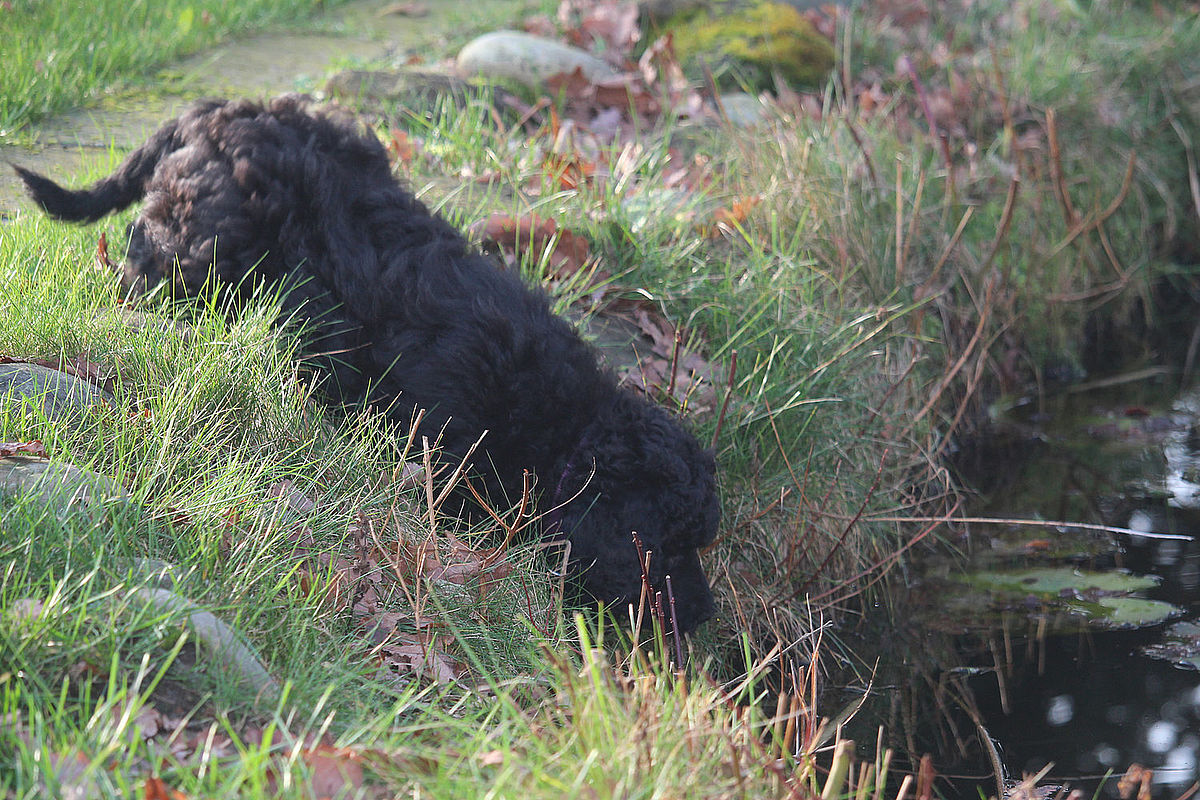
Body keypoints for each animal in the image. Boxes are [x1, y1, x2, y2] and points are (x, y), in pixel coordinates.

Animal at [16, 95, 720, 632]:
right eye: (665, 543)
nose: (703, 615)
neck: (562, 424)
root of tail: (212, 113)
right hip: (201, 242)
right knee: (148, 264)